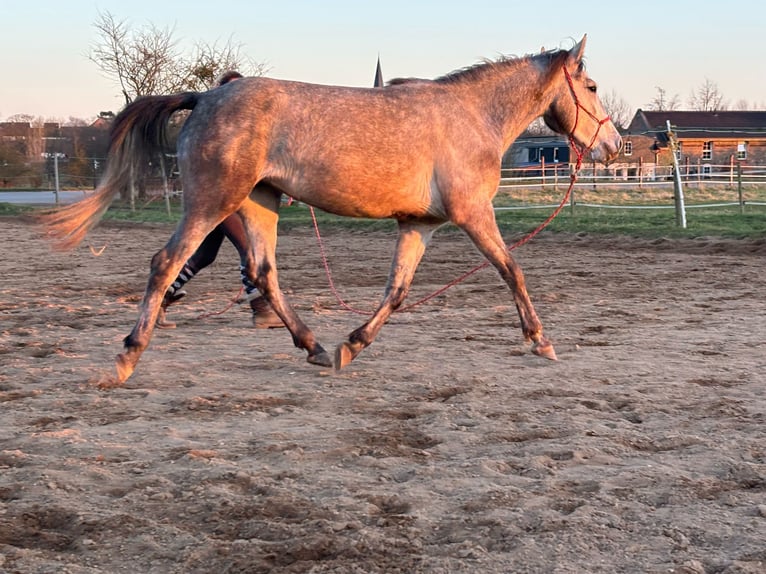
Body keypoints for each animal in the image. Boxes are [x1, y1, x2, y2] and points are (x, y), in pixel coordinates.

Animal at [39, 36, 620, 388]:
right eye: (591, 87)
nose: (612, 144)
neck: (472, 116)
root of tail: (203, 97)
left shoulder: (420, 224)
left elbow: (397, 292)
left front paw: (352, 345)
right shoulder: (472, 213)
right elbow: (511, 269)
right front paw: (541, 340)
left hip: (260, 203)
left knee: (263, 273)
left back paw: (315, 346)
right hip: (213, 201)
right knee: (167, 263)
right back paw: (126, 357)